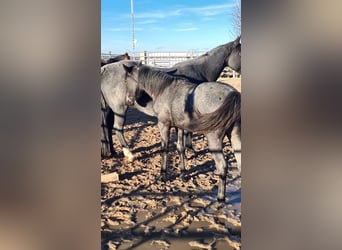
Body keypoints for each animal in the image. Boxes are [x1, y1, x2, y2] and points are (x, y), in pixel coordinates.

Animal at [100, 36, 242, 160]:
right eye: (240, 53)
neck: (199, 71)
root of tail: (104, 69)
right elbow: (188, 133)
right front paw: (189, 150)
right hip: (120, 108)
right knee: (117, 129)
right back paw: (129, 154)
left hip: (110, 109)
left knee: (108, 127)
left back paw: (112, 152)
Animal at [123, 63, 240, 203]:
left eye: (126, 81)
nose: (128, 101)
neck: (164, 89)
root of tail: (233, 93)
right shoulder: (179, 127)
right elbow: (180, 148)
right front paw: (183, 174)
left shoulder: (164, 125)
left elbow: (164, 149)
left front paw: (163, 175)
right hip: (234, 136)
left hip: (214, 140)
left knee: (222, 166)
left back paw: (220, 199)